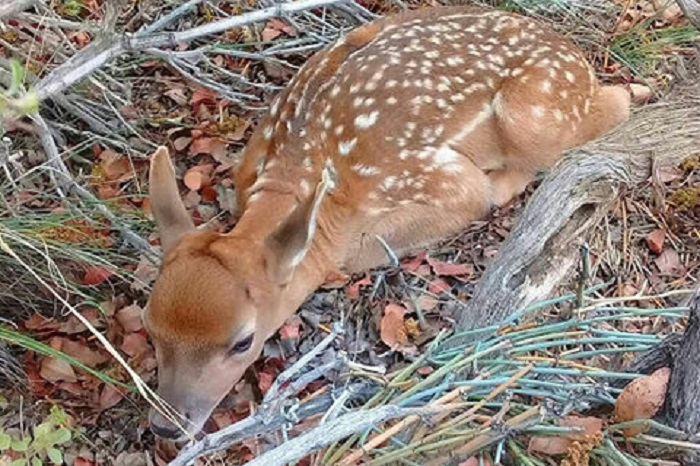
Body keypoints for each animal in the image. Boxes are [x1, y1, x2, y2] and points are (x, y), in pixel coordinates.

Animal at [142, 4, 628, 440]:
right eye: (150, 325)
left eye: (242, 340)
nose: (167, 425)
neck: (290, 181)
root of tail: (576, 56)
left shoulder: (442, 181)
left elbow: (435, 214)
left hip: (536, 116)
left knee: (614, 104)